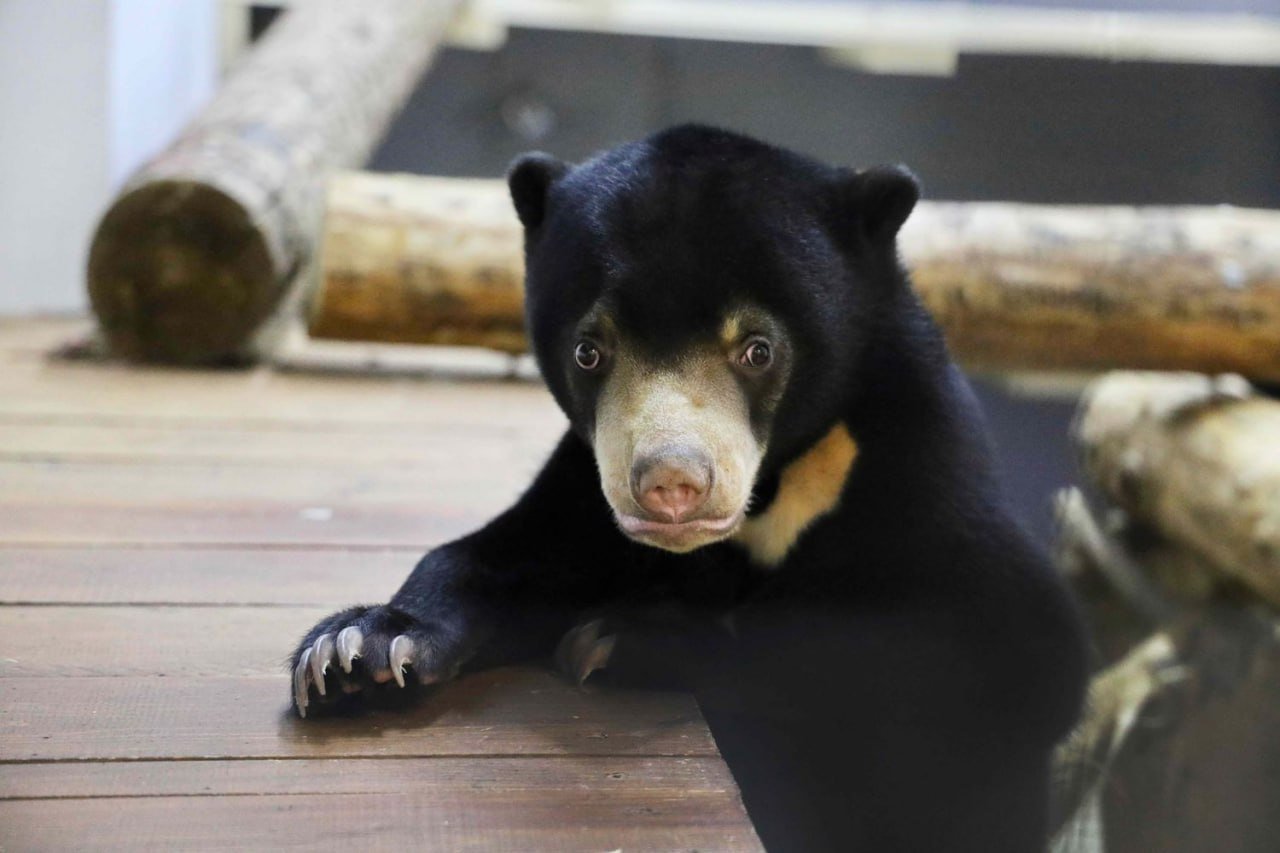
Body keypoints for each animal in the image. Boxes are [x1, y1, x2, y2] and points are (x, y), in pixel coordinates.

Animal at [288, 122, 1080, 845]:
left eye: (757, 349)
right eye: (589, 350)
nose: (671, 484)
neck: (776, 494)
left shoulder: (917, 467)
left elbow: (980, 642)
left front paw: (621, 639)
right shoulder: (586, 481)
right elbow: (517, 553)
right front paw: (358, 650)